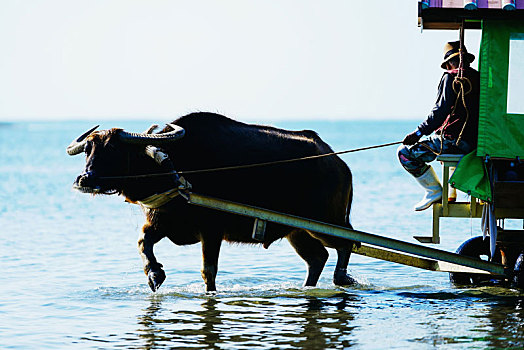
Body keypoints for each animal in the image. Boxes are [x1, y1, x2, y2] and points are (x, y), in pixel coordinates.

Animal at [67, 113, 356, 292]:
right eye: (88, 150)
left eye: (113, 149)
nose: (84, 179)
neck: (174, 168)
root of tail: (339, 164)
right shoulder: (160, 223)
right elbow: (142, 243)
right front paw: (155, 275)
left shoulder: (212, 230)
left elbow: (209, 270)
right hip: (297, 231)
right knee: (317, 258)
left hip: (325, 222)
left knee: (347, 242)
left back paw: (342, 278)